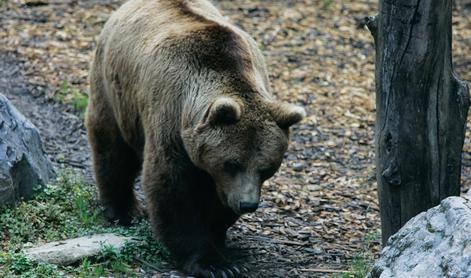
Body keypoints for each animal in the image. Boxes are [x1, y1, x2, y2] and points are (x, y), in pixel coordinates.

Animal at [85, 1, 306, 276]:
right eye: (232, 163)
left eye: (267, 168)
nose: (247, 204)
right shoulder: (171, 117)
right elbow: (174, 188)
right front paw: (211, 263)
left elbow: (218, 199)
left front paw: (218, 237)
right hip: (115, 88)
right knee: (113, 147)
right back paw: (124, 210)